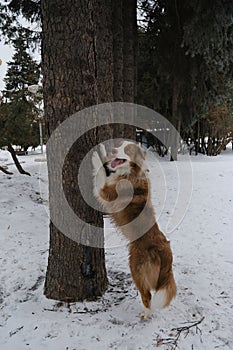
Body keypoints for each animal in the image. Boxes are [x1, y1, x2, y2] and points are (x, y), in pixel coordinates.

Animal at [92, 141, 176, 318]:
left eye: (127, 150)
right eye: (118, 145)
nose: (113, 150)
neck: (130, 173)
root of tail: (165, 251)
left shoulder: (106, 192)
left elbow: (100, 173)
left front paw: (95, 156)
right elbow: (106, 167)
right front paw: (102, 150)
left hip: (136, 268)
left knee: (147, 294)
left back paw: (146, 314)